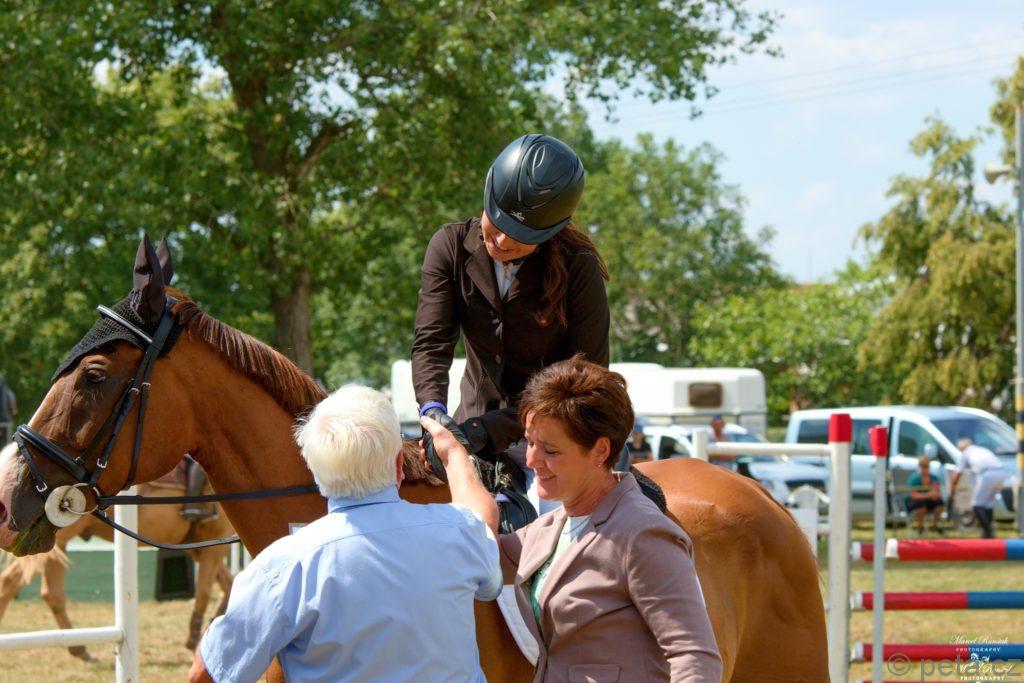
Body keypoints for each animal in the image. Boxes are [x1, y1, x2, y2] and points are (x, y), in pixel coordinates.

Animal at [0, 443, 233, 659]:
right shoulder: (214, 548)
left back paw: (78, 649)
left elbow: (227, 583)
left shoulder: (203, 547)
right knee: (20, 584)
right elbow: (204, 591)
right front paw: (195, 639)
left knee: (43, 591)